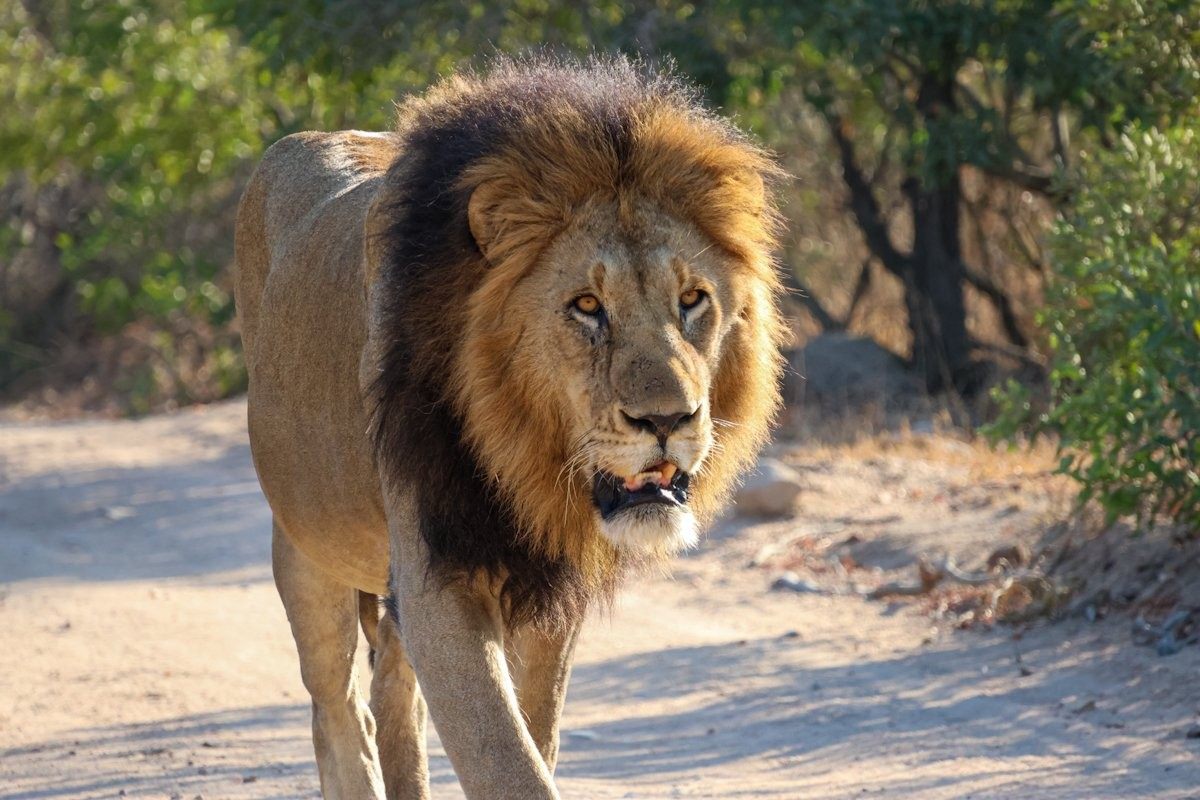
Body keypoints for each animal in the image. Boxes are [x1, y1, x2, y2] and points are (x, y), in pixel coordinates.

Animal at [234, 57, 784, 799]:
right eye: (587, 306)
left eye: (693, 299)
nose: (668, 419)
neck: (522, 455)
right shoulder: (438, 574)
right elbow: (504, 756)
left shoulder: (551, 583)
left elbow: (536, 734)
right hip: (303, 542)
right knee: (338, 709)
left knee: (391, 696)